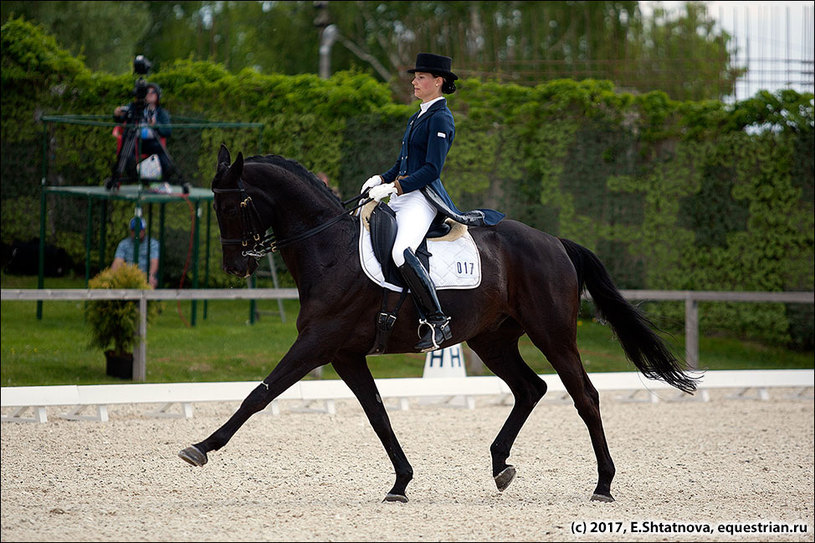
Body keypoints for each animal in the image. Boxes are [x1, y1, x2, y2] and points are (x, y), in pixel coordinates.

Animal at [180, 146, 700, 506]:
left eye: (236, 204)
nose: (235, 268)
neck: (328, 248)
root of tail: (554, 242)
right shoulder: (345, 353)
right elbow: (378, 414)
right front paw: (400, 483)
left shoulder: (317, 342)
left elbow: (260, 393)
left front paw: (202, 447)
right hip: (493, 340)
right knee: (530, 388)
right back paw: (500, 465)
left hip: (553, 334)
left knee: (584, 395)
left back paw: (603, 484)